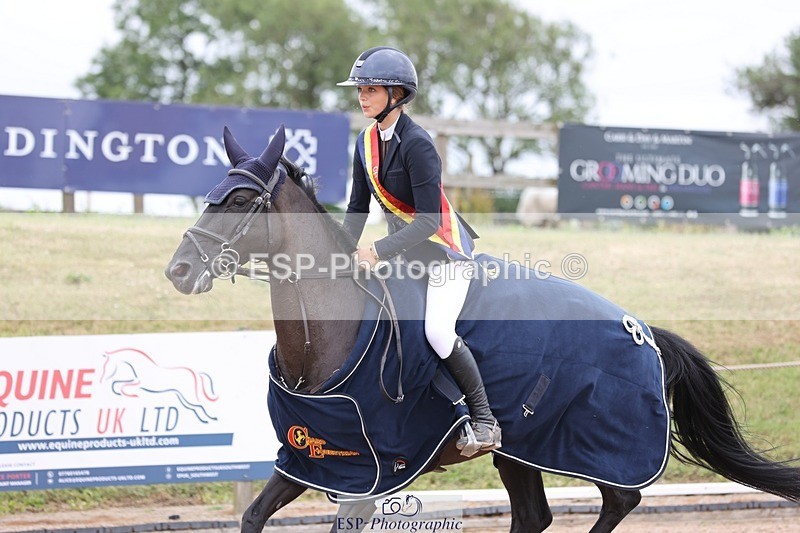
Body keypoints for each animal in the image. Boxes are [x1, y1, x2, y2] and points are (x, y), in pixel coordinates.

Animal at [164, 125, 800, 532]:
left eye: (240, 199)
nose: (179, 271)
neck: (330, 333)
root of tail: (644, 330)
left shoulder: (371, 475)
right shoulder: (313, 459)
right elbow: (251, 516)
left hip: (599, 447)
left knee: (619, 500)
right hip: (525, 447)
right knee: (535, 516)